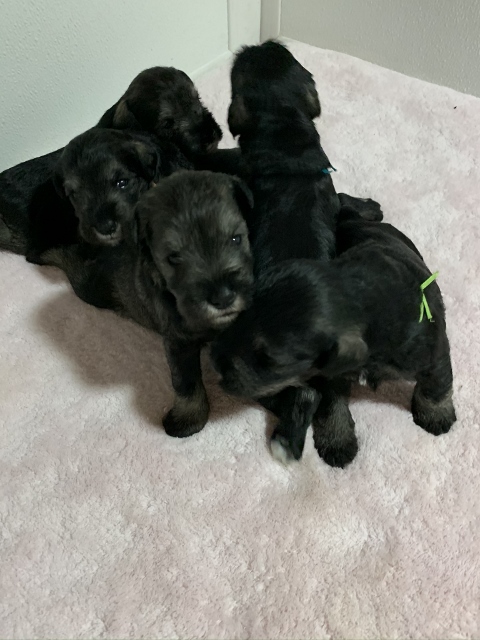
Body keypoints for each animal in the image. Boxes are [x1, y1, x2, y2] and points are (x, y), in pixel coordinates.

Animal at [41, 171, 254, 437]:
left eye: (236, 239)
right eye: (173, 258)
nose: (224, 297)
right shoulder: (177, 342)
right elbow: (186, 380)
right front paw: (189, 417)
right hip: (92, 289)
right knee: (74, 265)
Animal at [212, 207, 456, 466]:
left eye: (271, 361)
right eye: (241, 317)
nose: (214, 361)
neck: (365, 297)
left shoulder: (433, 352)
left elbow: (436, 386)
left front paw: (436, 416)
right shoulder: (328, 375)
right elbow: (332, 405)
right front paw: (337, 441)